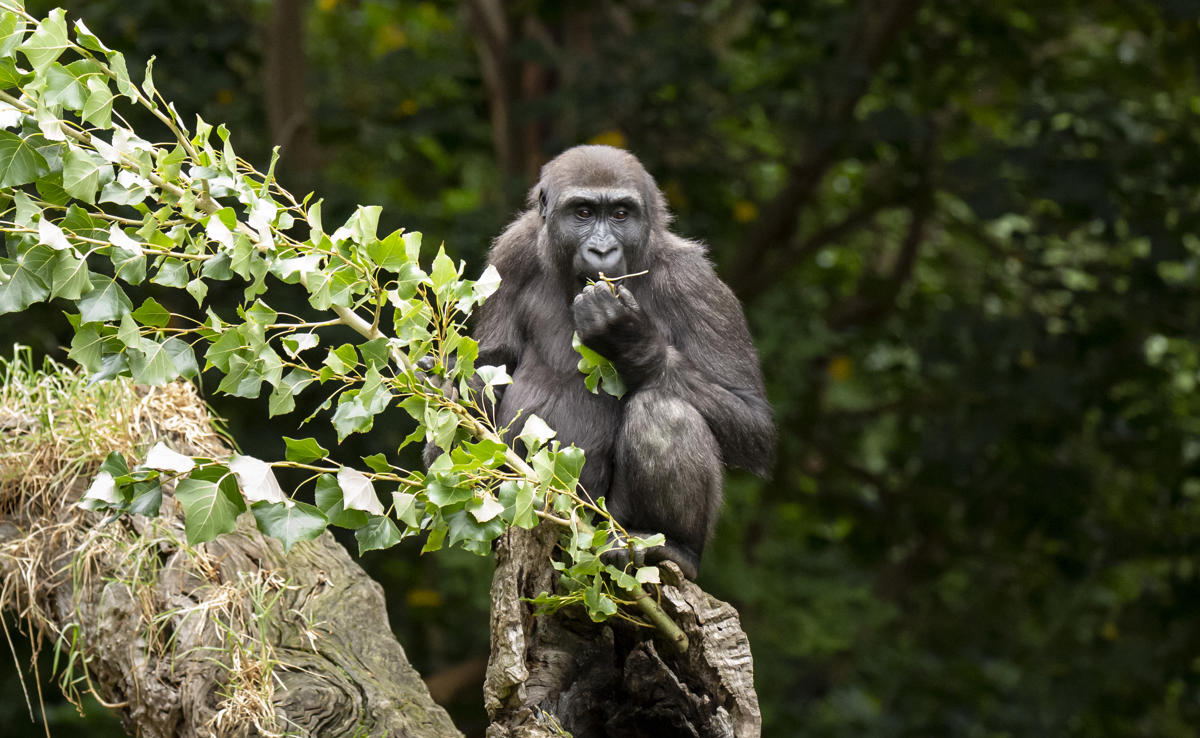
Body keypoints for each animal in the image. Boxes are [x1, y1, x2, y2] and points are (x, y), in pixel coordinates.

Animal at [472, 144, 772, 580]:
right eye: (583, 212)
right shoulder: (512, 252)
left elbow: (751, 418)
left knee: (664, 412)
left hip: (605, 529)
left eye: (620, 214)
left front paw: (631, 341)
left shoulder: (694, 281)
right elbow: (489, 367)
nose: (601, 250)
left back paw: (676, 547)